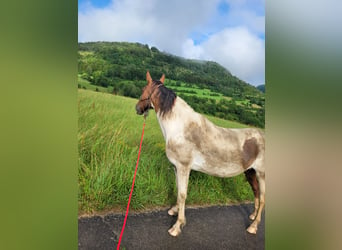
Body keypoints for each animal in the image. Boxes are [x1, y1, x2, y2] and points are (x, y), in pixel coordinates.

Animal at [136, 71, 264, 236]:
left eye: (143, 88)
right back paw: (253, 216)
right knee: (256, 192)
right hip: (250, 172)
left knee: (263, 198)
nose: (137, 108)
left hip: (261, 174)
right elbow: (178, 190)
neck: (179, 127)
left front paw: (177, 226)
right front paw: (175, 210)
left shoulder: (184, 167)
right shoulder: (177, 167)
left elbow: (182, 194)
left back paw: (253, 227)